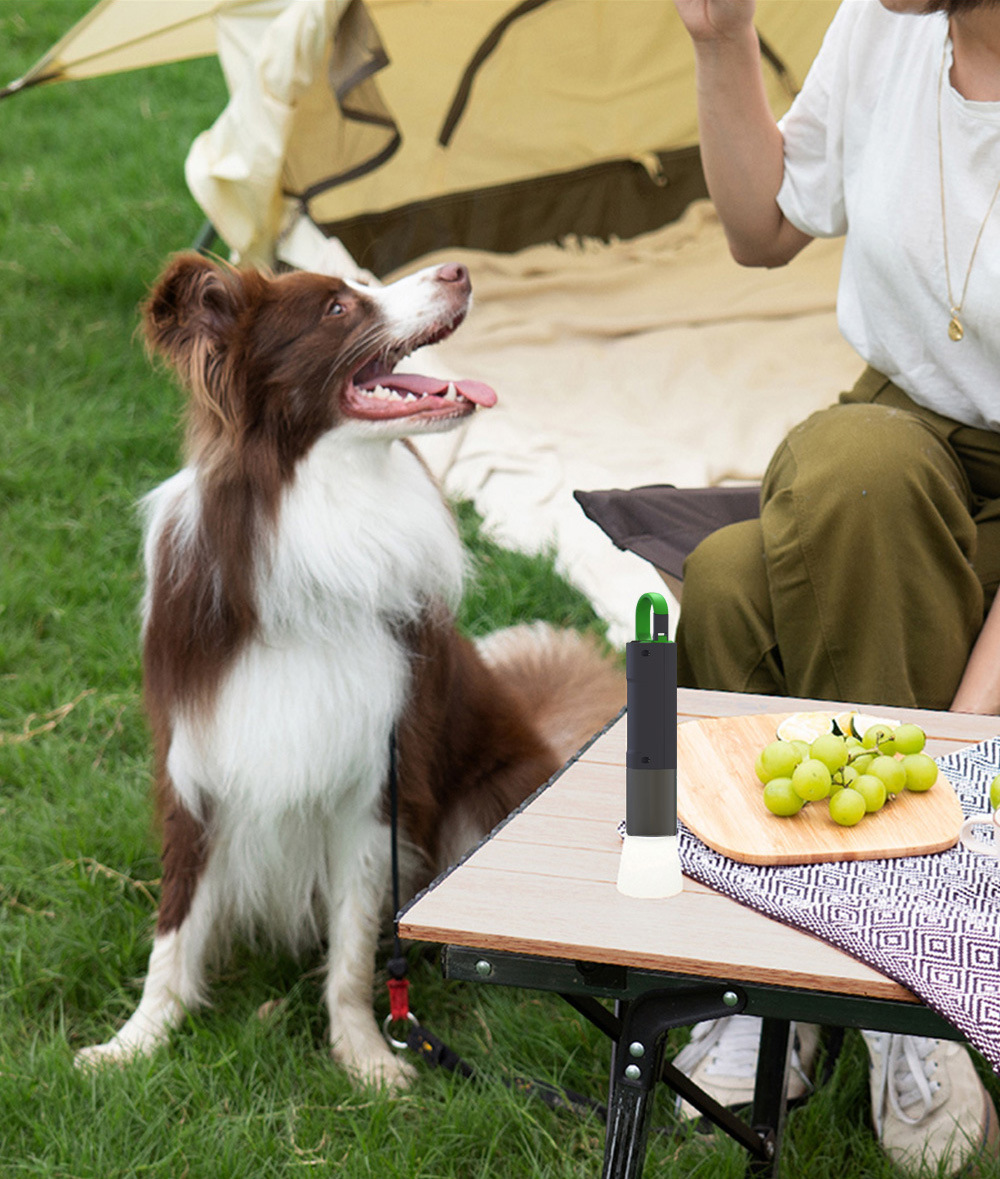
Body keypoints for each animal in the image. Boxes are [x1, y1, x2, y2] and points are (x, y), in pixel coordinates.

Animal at [77, 255, 622, 1084]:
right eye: (337, 307)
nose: (459, 267)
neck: (313, 516)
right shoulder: (198, 763)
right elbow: (174, 926)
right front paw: (134, 1042)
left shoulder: (375, 781)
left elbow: (357, 943)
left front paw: (367, 1055)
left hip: (485, 797)